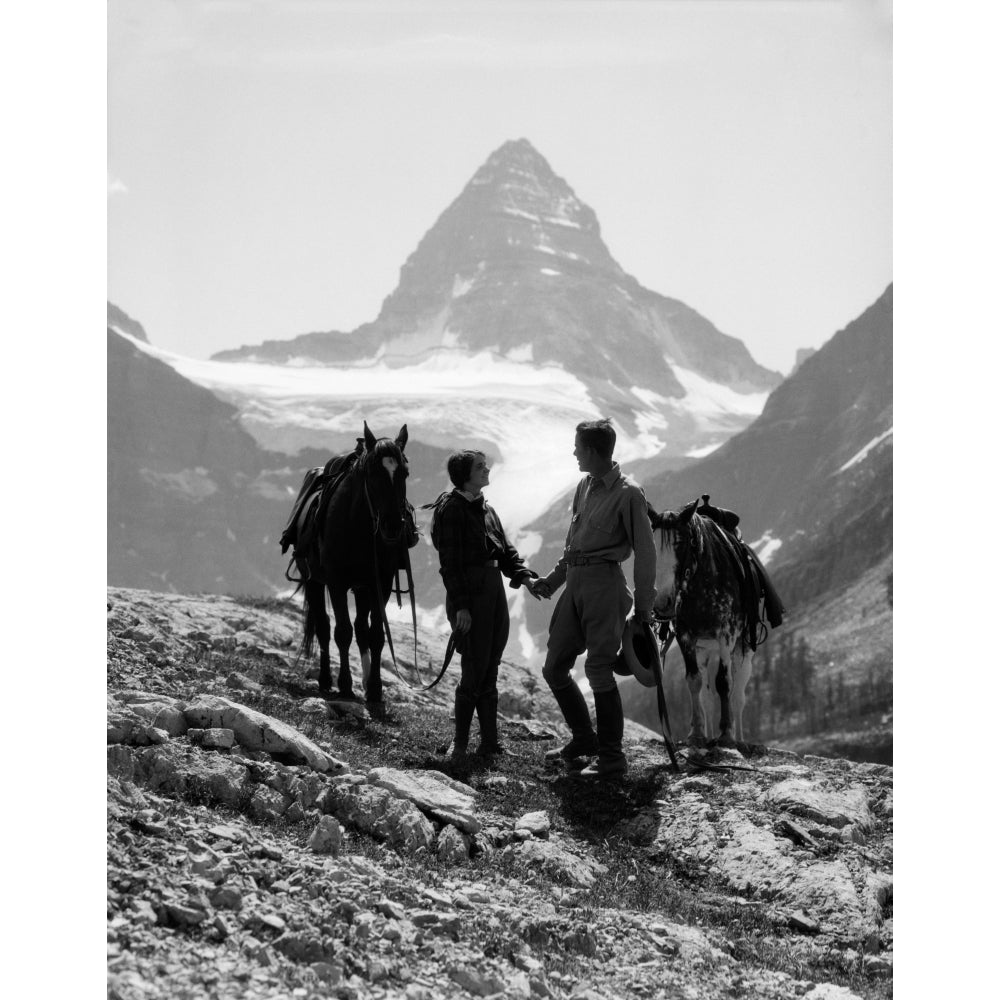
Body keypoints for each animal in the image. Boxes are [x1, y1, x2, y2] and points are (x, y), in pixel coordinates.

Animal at [302, 422, 416, 704]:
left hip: (363, 587)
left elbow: (376, 635)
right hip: (313, 580)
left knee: (362, 628)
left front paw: (374, 689)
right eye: (373, 473)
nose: (392, 526)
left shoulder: (380, 583)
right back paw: (325, 680)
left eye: (405, 473)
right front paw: (345, 686)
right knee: (323, 626)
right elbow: (342, 632)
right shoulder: (336, 582)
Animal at [648, 496, 780, 748]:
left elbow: (723, 683)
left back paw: (739, 738)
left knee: (738, 695)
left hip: (743, 651)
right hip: (705, 652)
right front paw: (697, 734)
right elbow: (694, 682)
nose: (662, 603)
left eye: (681, 543)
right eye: (652, 544)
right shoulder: (686, 638)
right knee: (707, 697)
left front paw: (726, 734)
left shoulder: (725, 635)